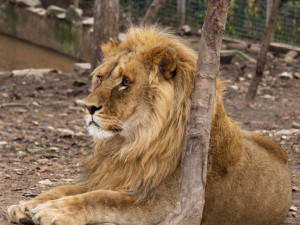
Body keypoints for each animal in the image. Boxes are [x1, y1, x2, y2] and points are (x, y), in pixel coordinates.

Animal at [8, 25, 292, 224]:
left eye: (125, 82)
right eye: (100, 78)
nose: (87, 107)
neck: (130, 143)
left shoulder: (165, 207)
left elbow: (101, 199)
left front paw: (51, 210)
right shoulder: (112, 176)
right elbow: (66, 188)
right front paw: (26, 205)